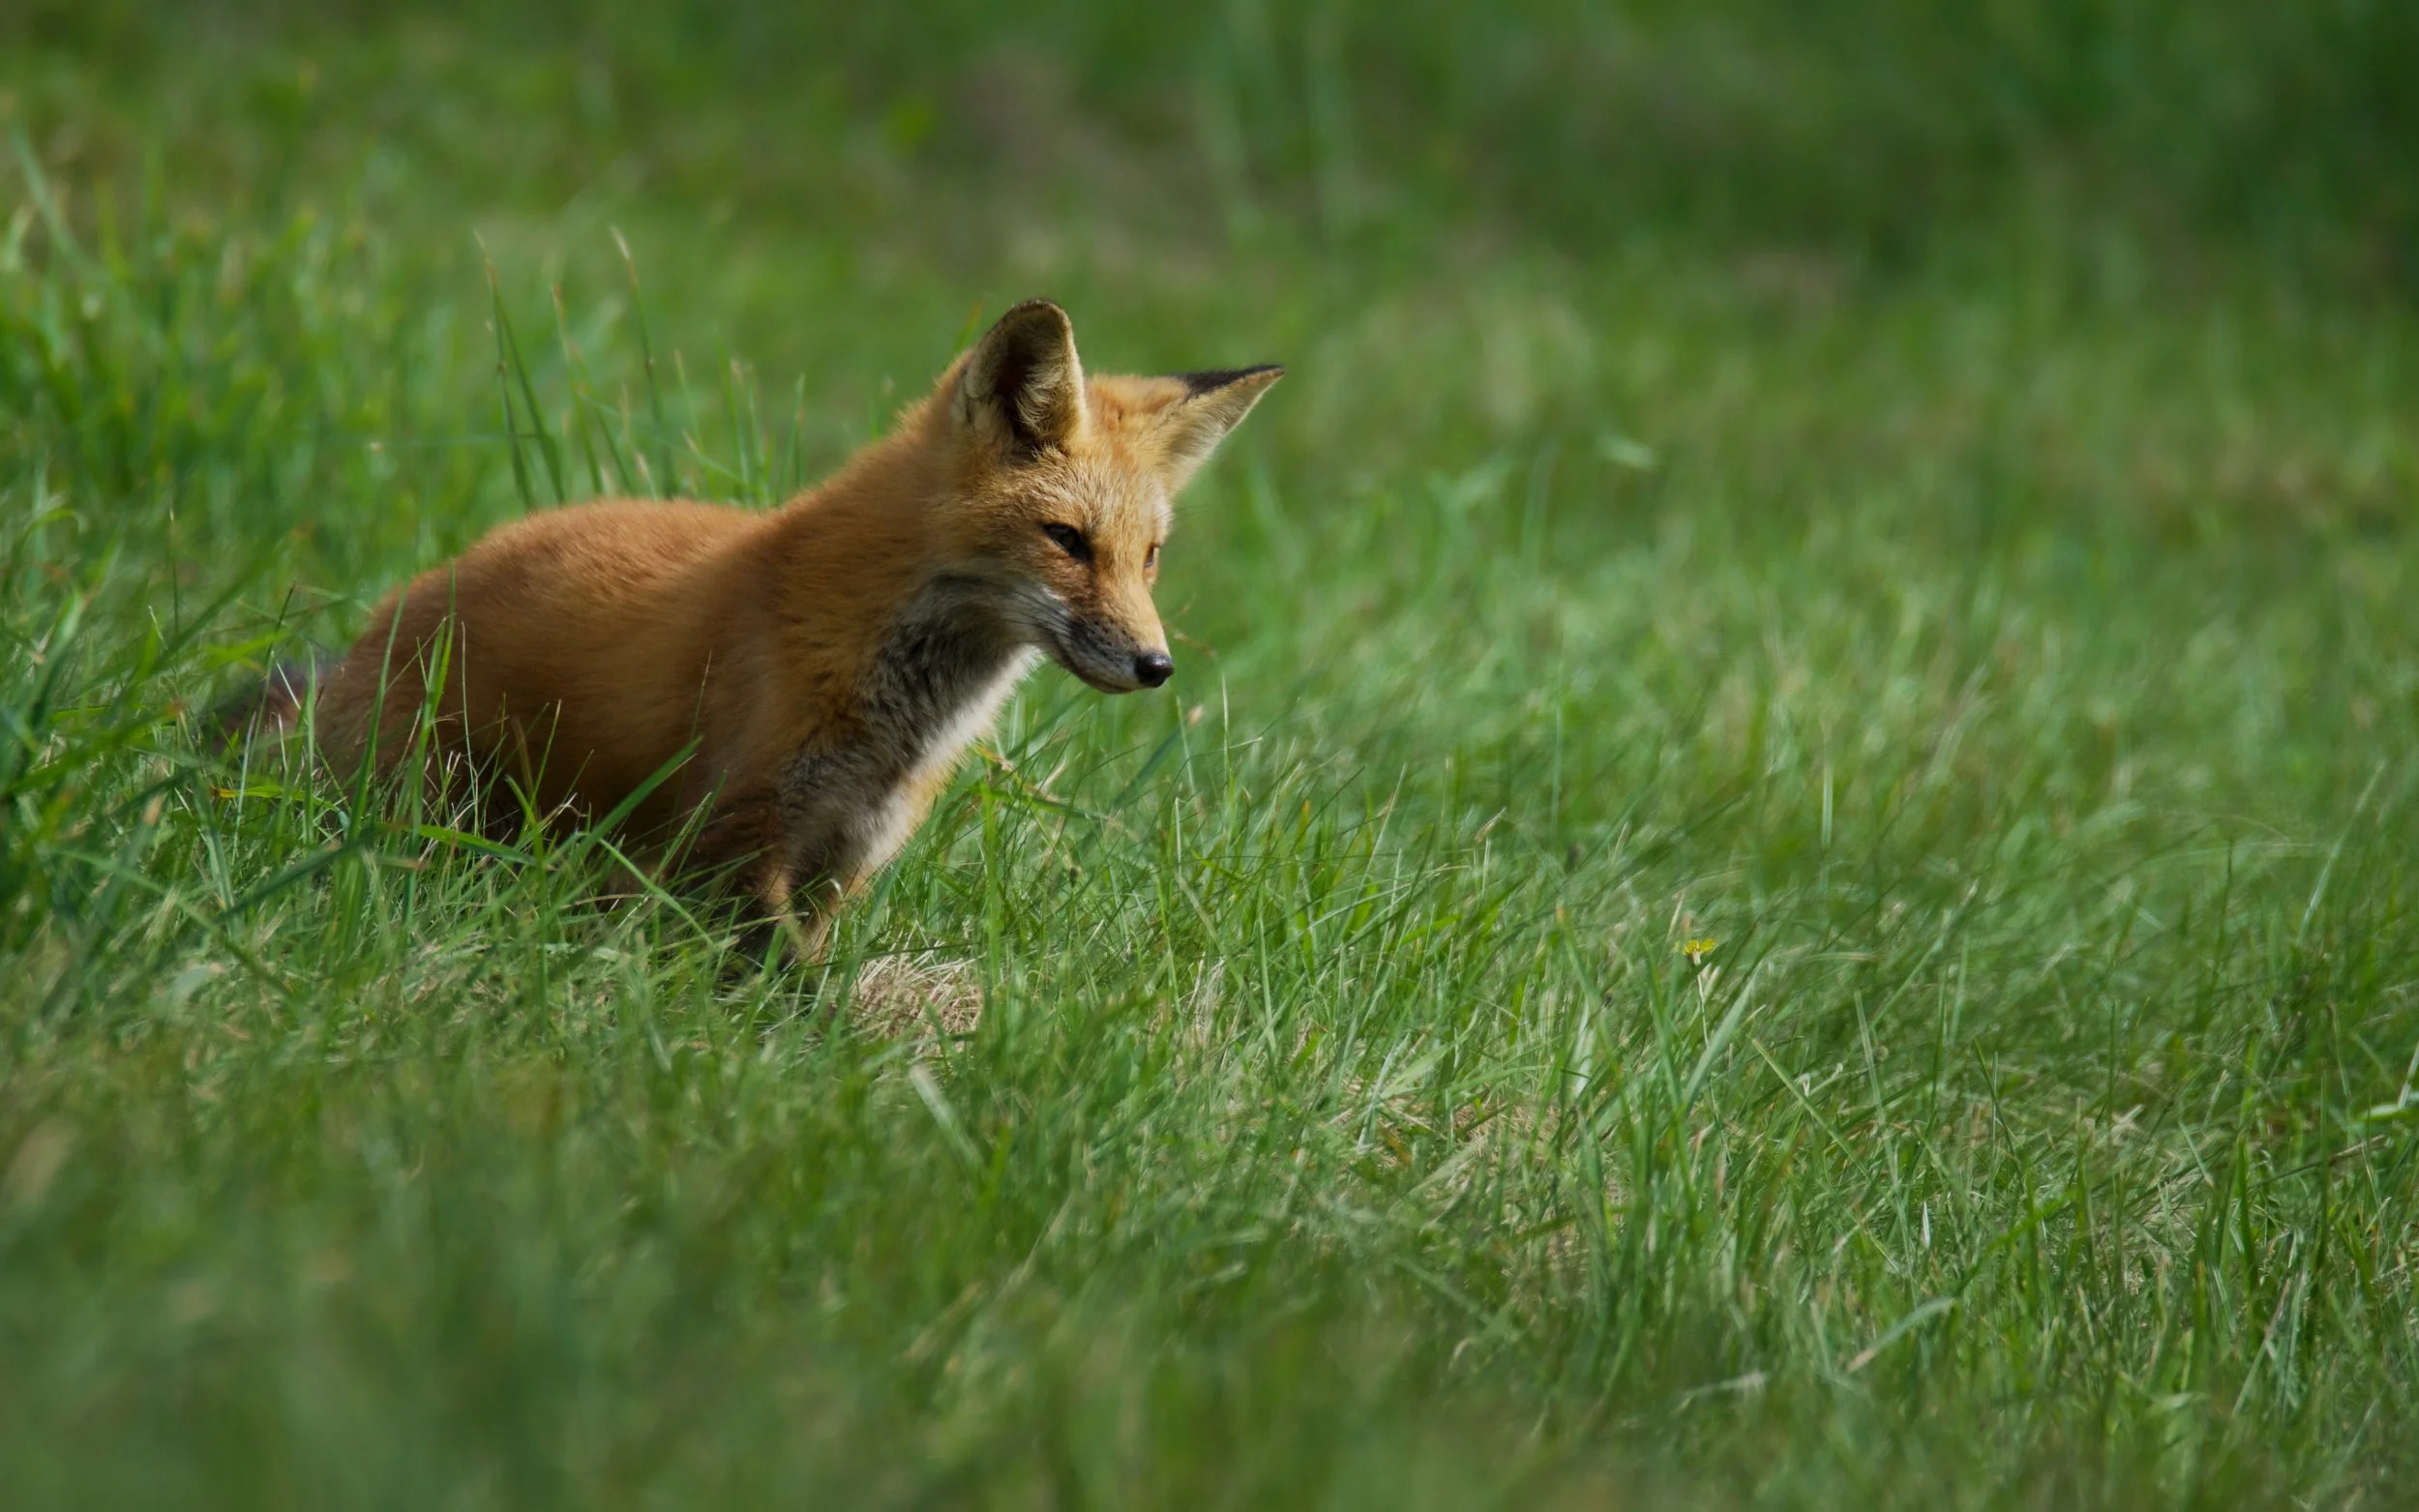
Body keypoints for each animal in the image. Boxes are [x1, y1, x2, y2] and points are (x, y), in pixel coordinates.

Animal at [268, 300, 1280, 955]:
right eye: (1067, 540)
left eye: (1150, 556)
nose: (1156, 665)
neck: (901, 720)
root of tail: (372, 635)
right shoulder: (737, 837)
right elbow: (794, 991)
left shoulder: (845, 859)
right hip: (437, 801)